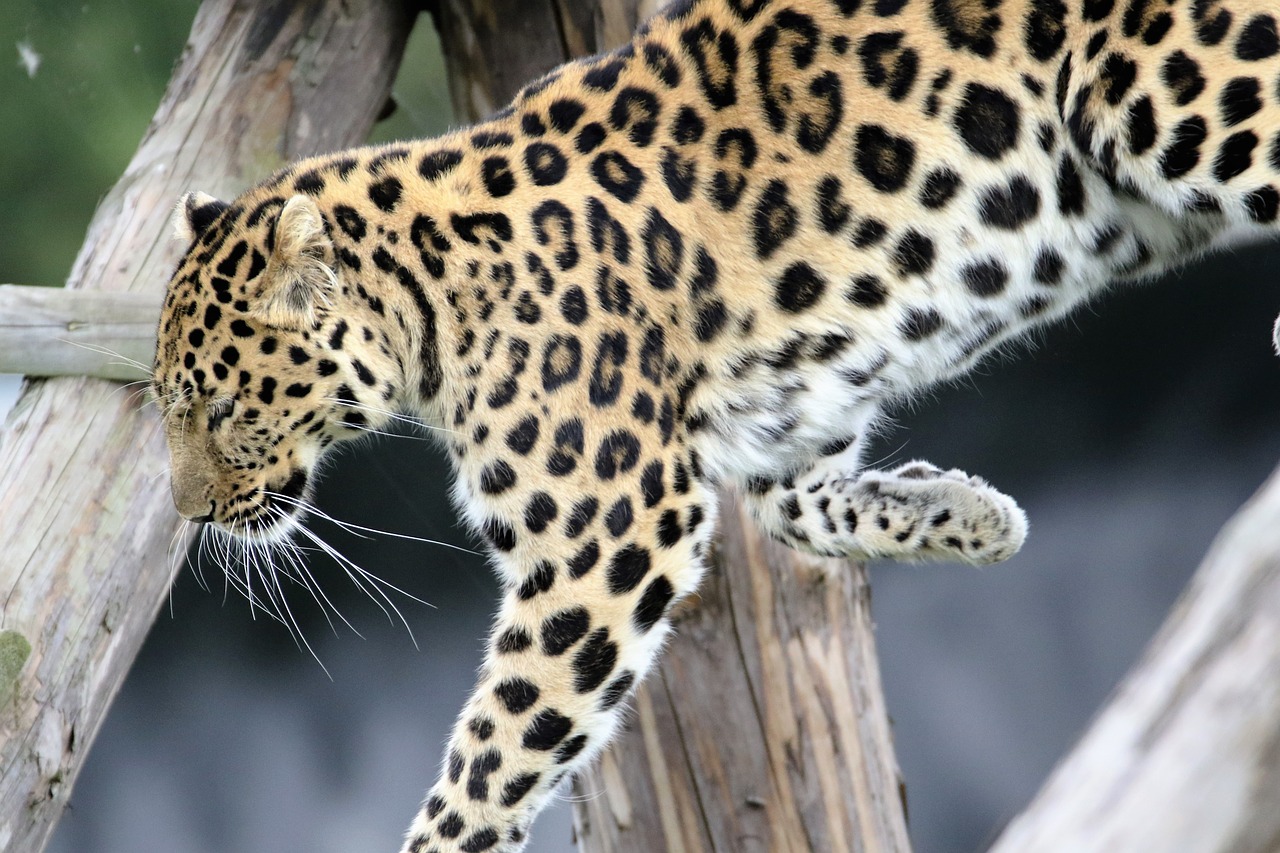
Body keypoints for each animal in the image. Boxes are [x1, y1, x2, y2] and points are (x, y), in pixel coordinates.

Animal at [151, 0, 1280, 849]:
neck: (429, 303)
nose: (191, 515)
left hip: (1172, 95)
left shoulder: (604, 535)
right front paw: (969, 512)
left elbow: (498, 747)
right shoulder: (784, 418)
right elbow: (799, 510)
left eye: (221, 407)